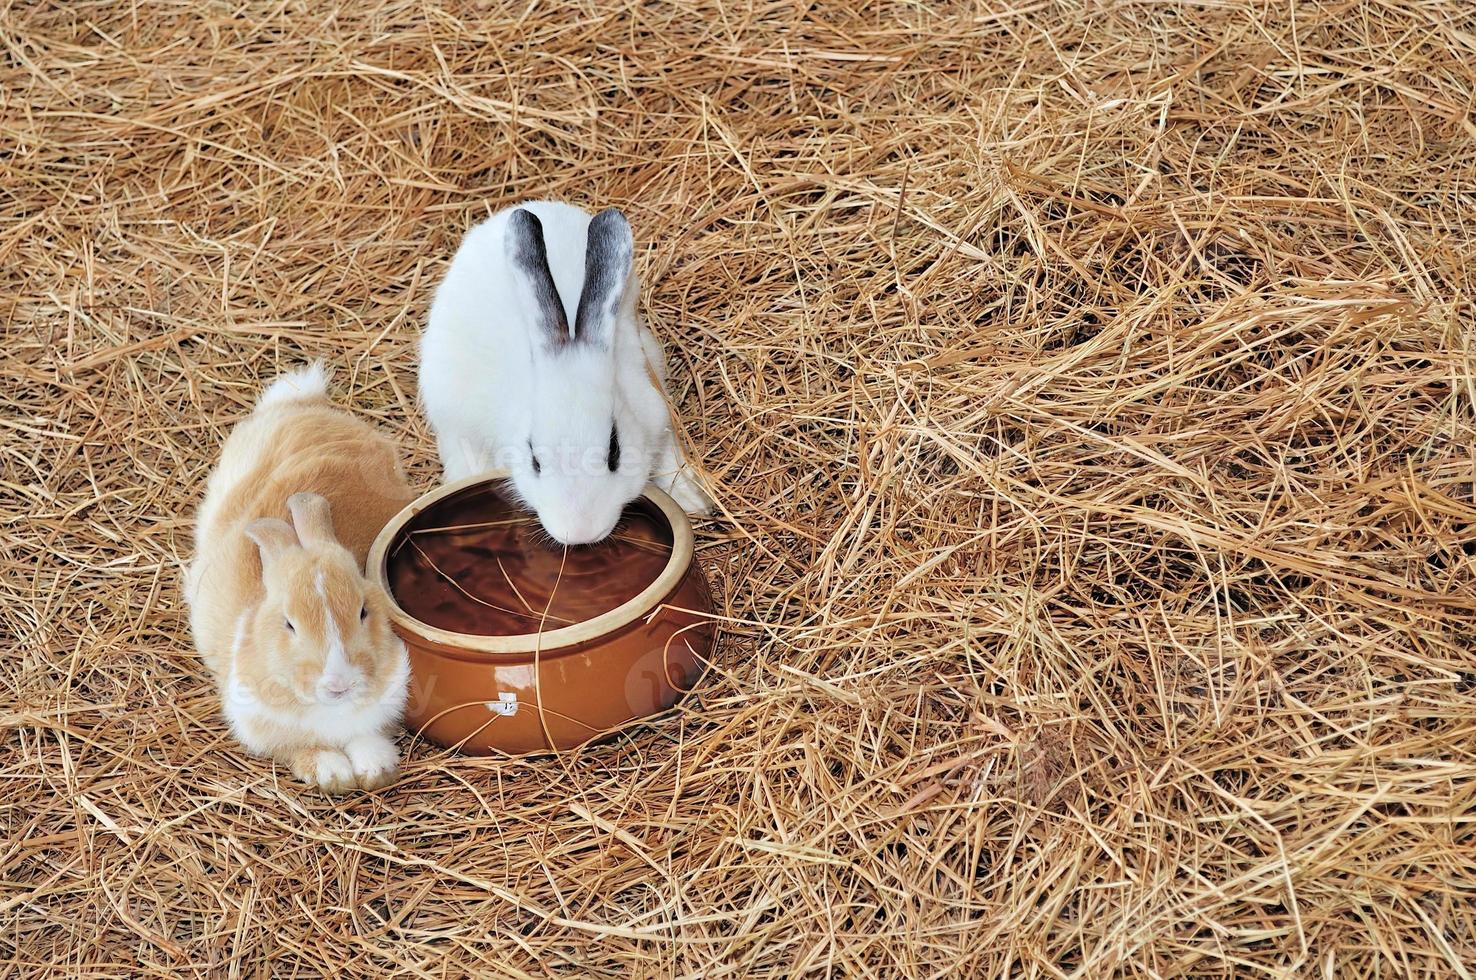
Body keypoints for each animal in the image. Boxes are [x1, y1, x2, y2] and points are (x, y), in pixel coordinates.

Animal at [419, 200, 711, 546]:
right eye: (535, 460)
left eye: (614, 451)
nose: (581, 533)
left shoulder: (657, 412)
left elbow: (669, 460)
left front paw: (694, 502)